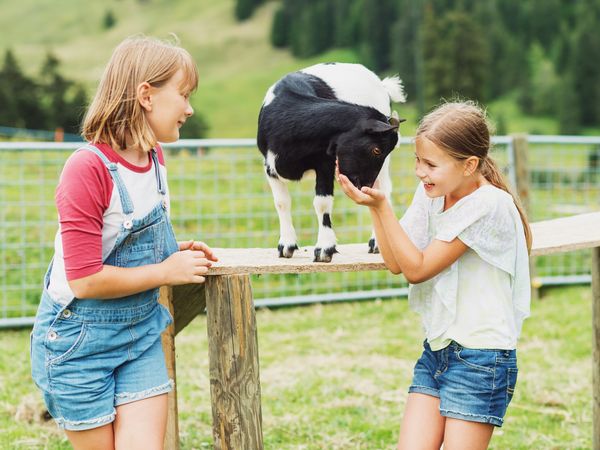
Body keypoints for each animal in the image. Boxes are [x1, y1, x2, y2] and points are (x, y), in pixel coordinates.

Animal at [255, 61, 406, 262]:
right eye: (376, 150)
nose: (364, 186)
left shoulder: (325, 164)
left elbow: (322, 203)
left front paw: (324, 248)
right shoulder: (269, 166)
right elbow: (282, 202)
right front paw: (286, 245)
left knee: (384, 190)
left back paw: (376, 243)